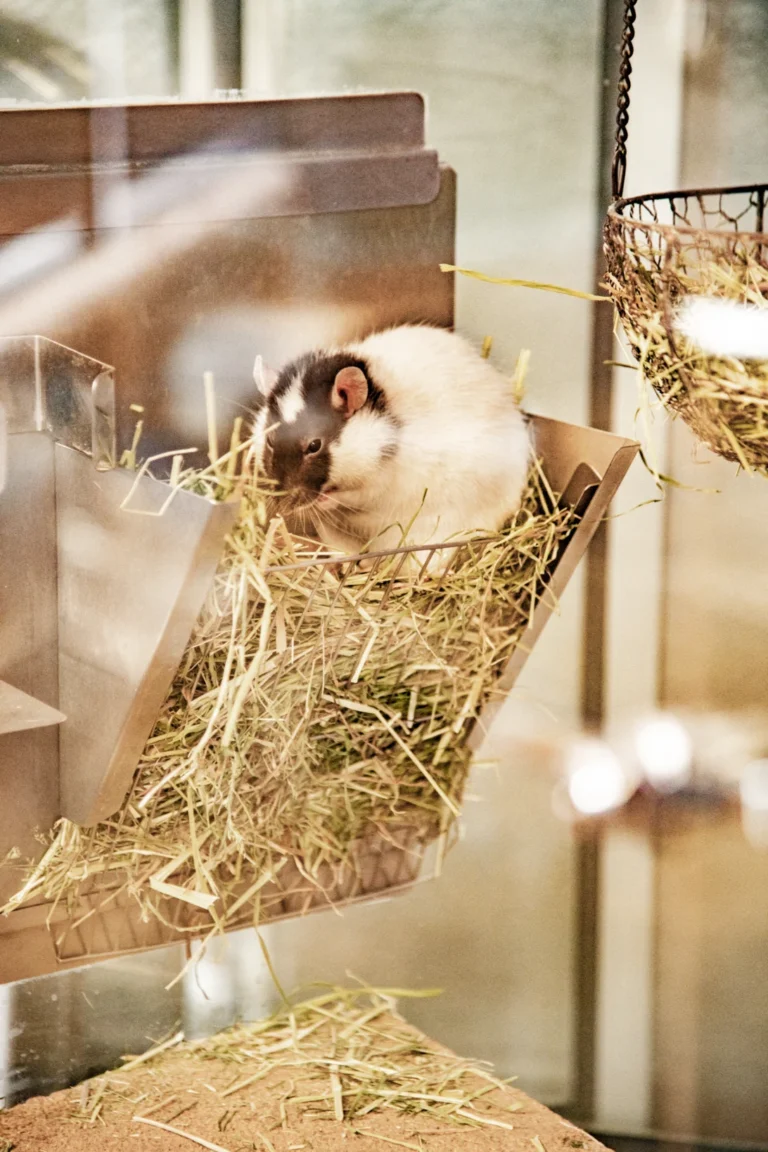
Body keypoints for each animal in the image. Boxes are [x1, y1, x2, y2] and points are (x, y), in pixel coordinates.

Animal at [252, 325, 531, 565]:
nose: (282, 503)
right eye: (270, 439)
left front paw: (324, 501)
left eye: (314, 445)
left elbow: (355, 495)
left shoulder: (378, 485)